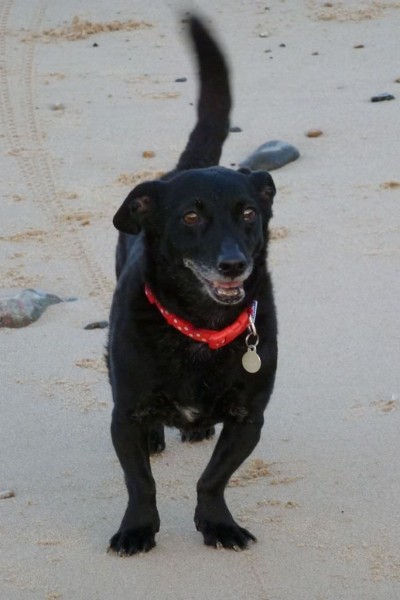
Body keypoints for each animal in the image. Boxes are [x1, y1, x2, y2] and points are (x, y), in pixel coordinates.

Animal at [106, 15, 276, 556]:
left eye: (248, 213)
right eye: (191, 216)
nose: (233, 264)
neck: (200, 329)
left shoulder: (248, 418)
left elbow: (213, 479)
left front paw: (218, 524)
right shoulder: (124, 415)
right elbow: (139, 481)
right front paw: (137, 529)